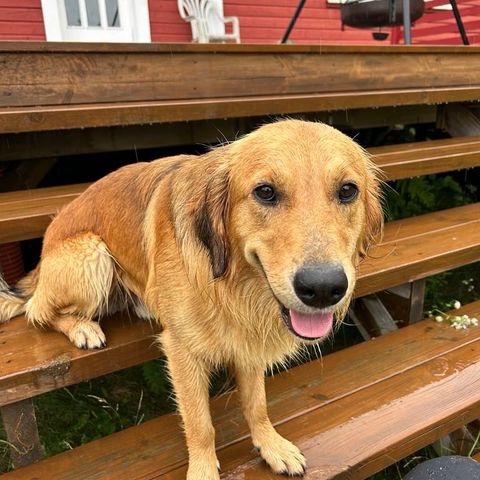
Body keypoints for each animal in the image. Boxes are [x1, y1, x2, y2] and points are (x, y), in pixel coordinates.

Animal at [0, 119, 382, 476]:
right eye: (265, 192)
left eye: (347, 191)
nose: (323, 288)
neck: (230, 283)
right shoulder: (183, 350)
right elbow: (200, 425)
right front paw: (203, 470)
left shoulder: (247, 340)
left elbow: (256, 403)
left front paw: (270, 443)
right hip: (92, 257)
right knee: (37, 311)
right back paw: (82, 327)